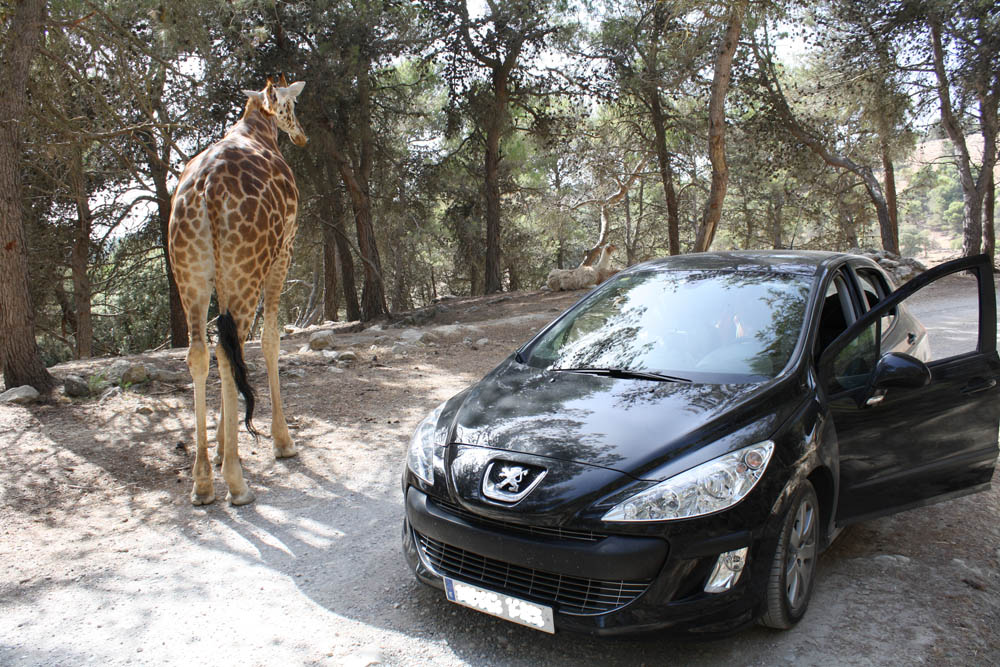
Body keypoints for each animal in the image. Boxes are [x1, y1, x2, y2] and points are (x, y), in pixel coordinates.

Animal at [168, 77, 307, 506]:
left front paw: (218, 450)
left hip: (191, 273)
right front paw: (282, 442)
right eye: (293, 105)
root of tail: (204, 191)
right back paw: (235, 482)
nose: (302, 136)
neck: (257, 128)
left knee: (201, 352)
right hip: (245, 266)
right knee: (230, 350)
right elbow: (271, 339)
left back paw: (202, 481)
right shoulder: (285, 248)